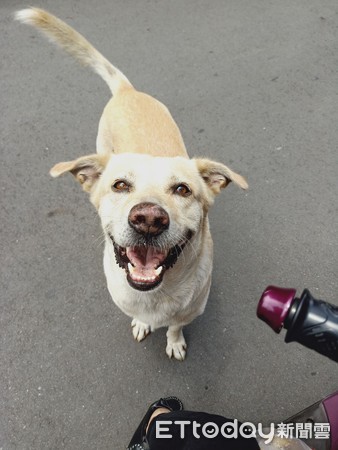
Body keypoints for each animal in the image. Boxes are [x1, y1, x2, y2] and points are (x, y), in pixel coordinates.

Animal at [16, 7, 248, 360]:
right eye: (120, 185)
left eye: (182, 189)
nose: (149, 220)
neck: (155, 293)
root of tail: (127, 90)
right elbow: (141, 317)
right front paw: (142, 323)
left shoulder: (190, 310)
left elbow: (176, 326)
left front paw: (174, 341)